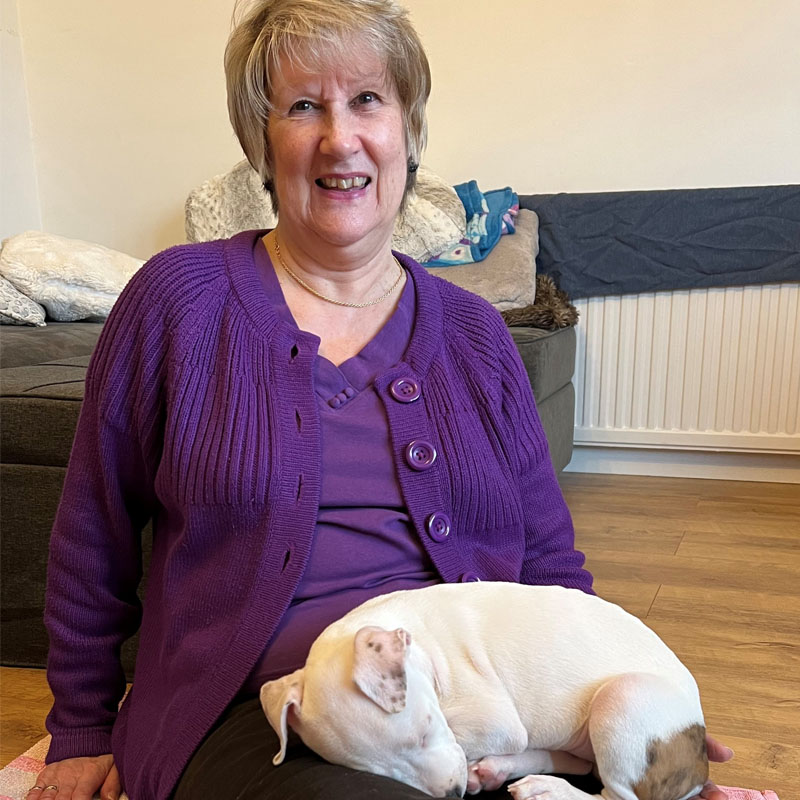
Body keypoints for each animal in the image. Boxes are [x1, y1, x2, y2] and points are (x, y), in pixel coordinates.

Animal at [260, 580, 708, 800]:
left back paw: (544, 789)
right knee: (579, 765)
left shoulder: (495, 721)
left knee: (618, 798)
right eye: (375, 771)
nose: (453, 793)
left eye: (425, 732)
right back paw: (500, 771)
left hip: (623, 698)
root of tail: (699, 767)